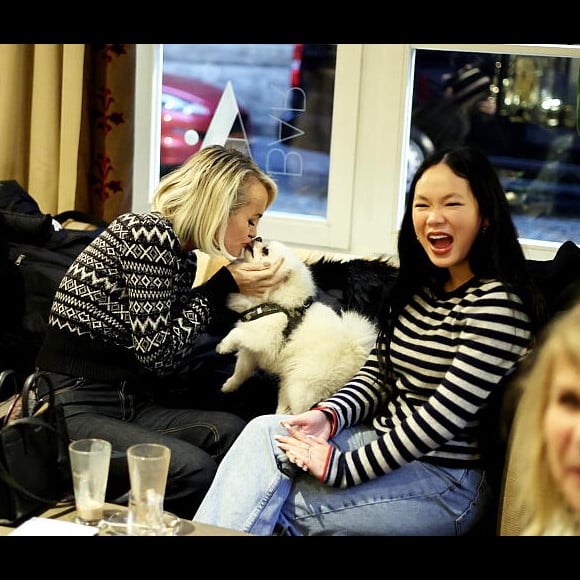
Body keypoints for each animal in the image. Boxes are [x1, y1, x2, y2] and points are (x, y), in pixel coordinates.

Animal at [215, 238, 378, 414]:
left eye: (265, 251)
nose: (257, 238)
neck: (271, 302)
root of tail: (353, 354)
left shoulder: (264, 337)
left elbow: (235, 332)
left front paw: (223, 346)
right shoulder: (251, 352)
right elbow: (240, 371)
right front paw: (229, 386)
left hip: (300, 385)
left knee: (301, 409)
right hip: (289, 379)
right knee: (285, 403)